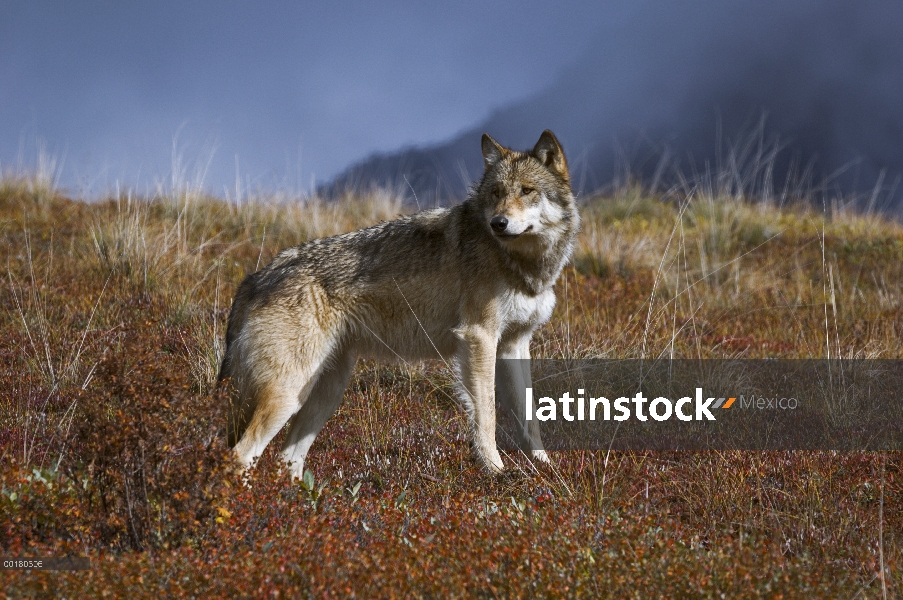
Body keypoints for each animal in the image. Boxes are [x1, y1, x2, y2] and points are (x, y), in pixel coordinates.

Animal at [221, 129, 580, 476]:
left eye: (527, 190)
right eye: (496, 193)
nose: (498, 223)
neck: (523, 265)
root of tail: (257, 277)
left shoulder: (514, 344)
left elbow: (529, 419)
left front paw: (545, 471)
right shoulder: (478, 337)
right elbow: (487, 416)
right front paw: (495, 472)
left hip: (325, 393)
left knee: (288, 460)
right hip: (288, 395)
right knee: (240, 455)